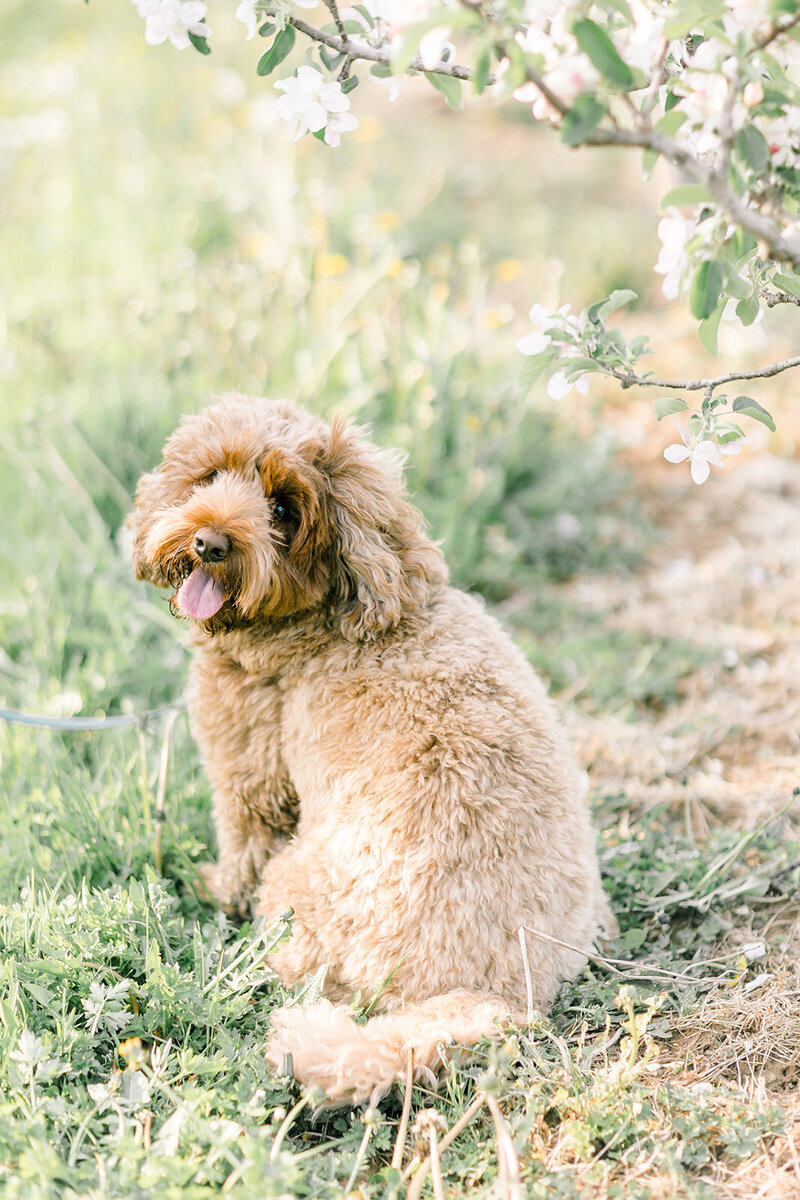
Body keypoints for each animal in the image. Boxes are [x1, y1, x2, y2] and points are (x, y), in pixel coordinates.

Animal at [131, 396, 618, 1104]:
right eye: (208, 476)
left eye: (284, 510)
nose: (209, 543)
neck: (324, 623)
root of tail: (496, 993)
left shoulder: (251, 772)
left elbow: (242, 844)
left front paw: (214, 888)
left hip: (298, 889)